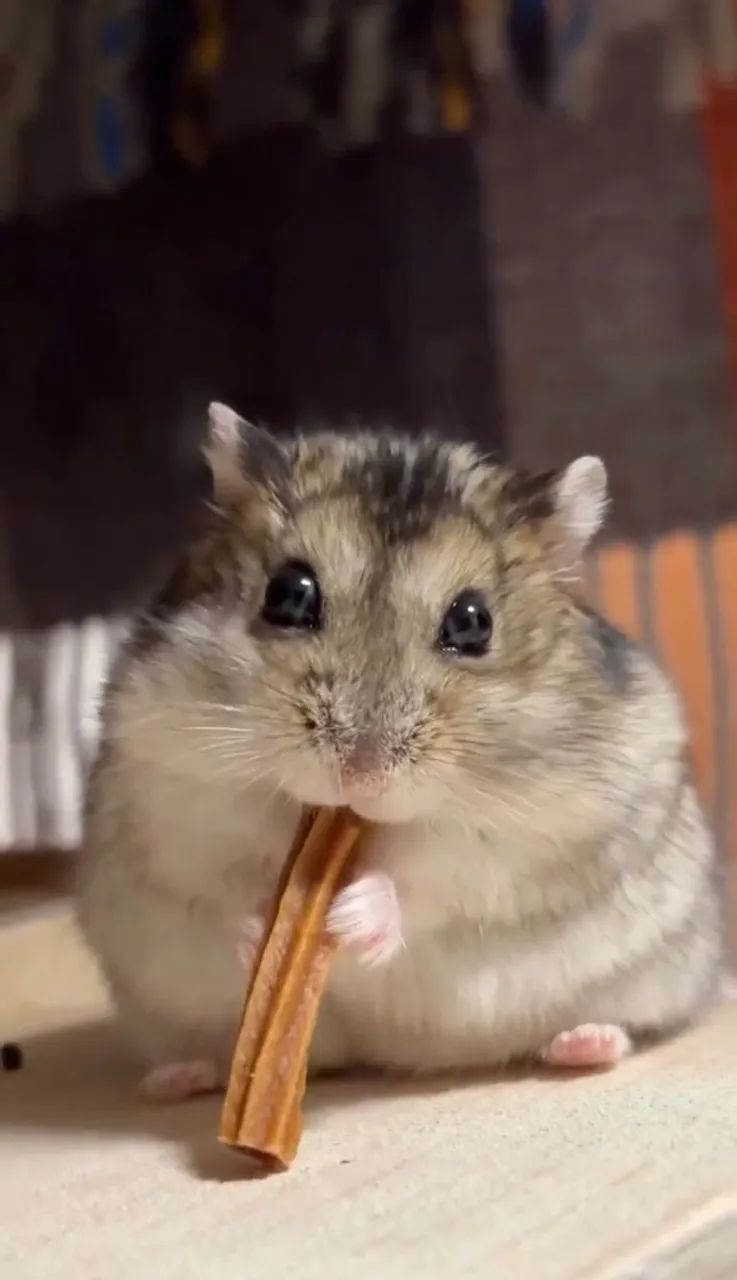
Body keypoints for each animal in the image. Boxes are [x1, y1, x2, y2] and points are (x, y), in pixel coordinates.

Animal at [77, 403, 723, 1101]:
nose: (359, 774)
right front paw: (265, 930)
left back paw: (584, 1045)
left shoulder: (536, 832)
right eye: (289, 594)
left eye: (472, 622)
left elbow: (434, 878)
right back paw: (179, 1077)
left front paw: (348, 917)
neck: (350, 823)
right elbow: (228, 879)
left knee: (612, 1025)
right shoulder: (174, 787)